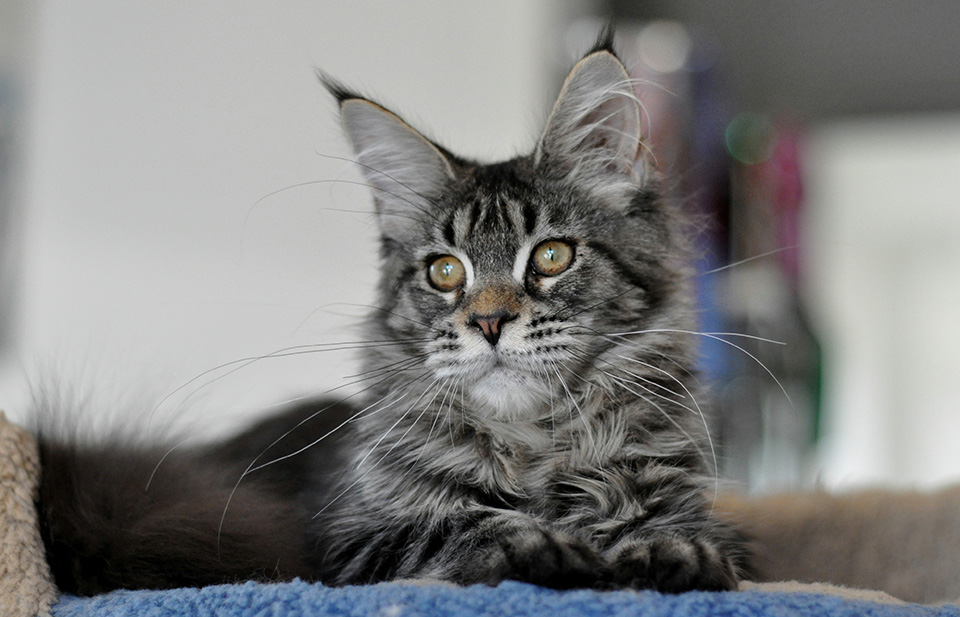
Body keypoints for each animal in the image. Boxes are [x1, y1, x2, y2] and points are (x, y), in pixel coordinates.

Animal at [35, 31, 744, 596]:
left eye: (550, 256)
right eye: (445, 271)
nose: (489, 323)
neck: (531, 448)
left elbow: (687, 531)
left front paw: (667, 551)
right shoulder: (350, 537)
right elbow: (456, 527)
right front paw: (539, 546)